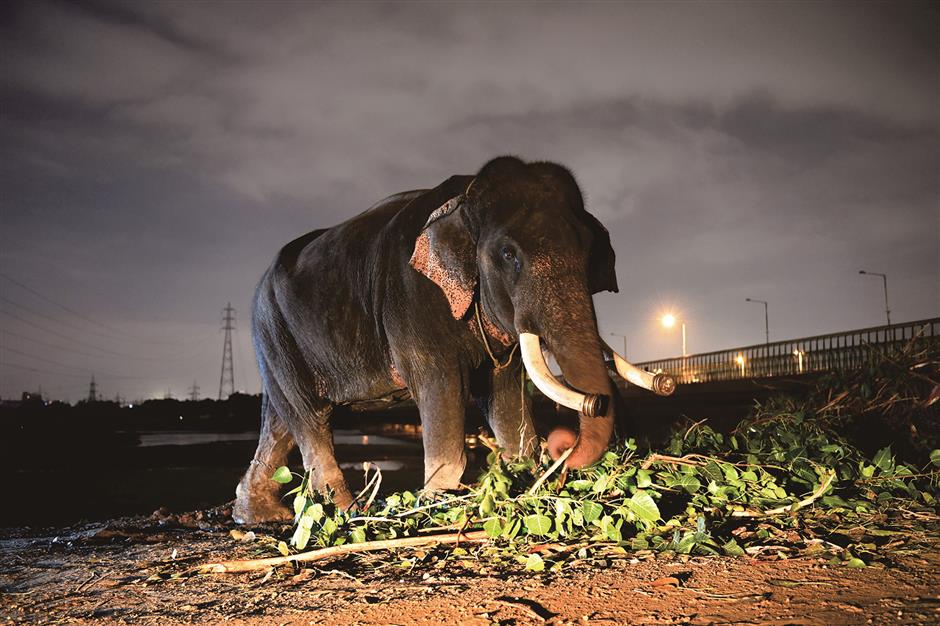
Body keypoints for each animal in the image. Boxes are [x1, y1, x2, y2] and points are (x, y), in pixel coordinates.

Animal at [232, 155, 632, 520]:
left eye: (589, 249)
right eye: (508, 254)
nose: (595, 403)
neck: (463, 198)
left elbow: (505, 391)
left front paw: (522, 480)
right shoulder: (413, 300)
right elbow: (442, 385)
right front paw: (439, 502)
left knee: (280, 420)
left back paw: (261, 516)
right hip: (274, 332)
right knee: (310, 417)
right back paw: (346, 514)